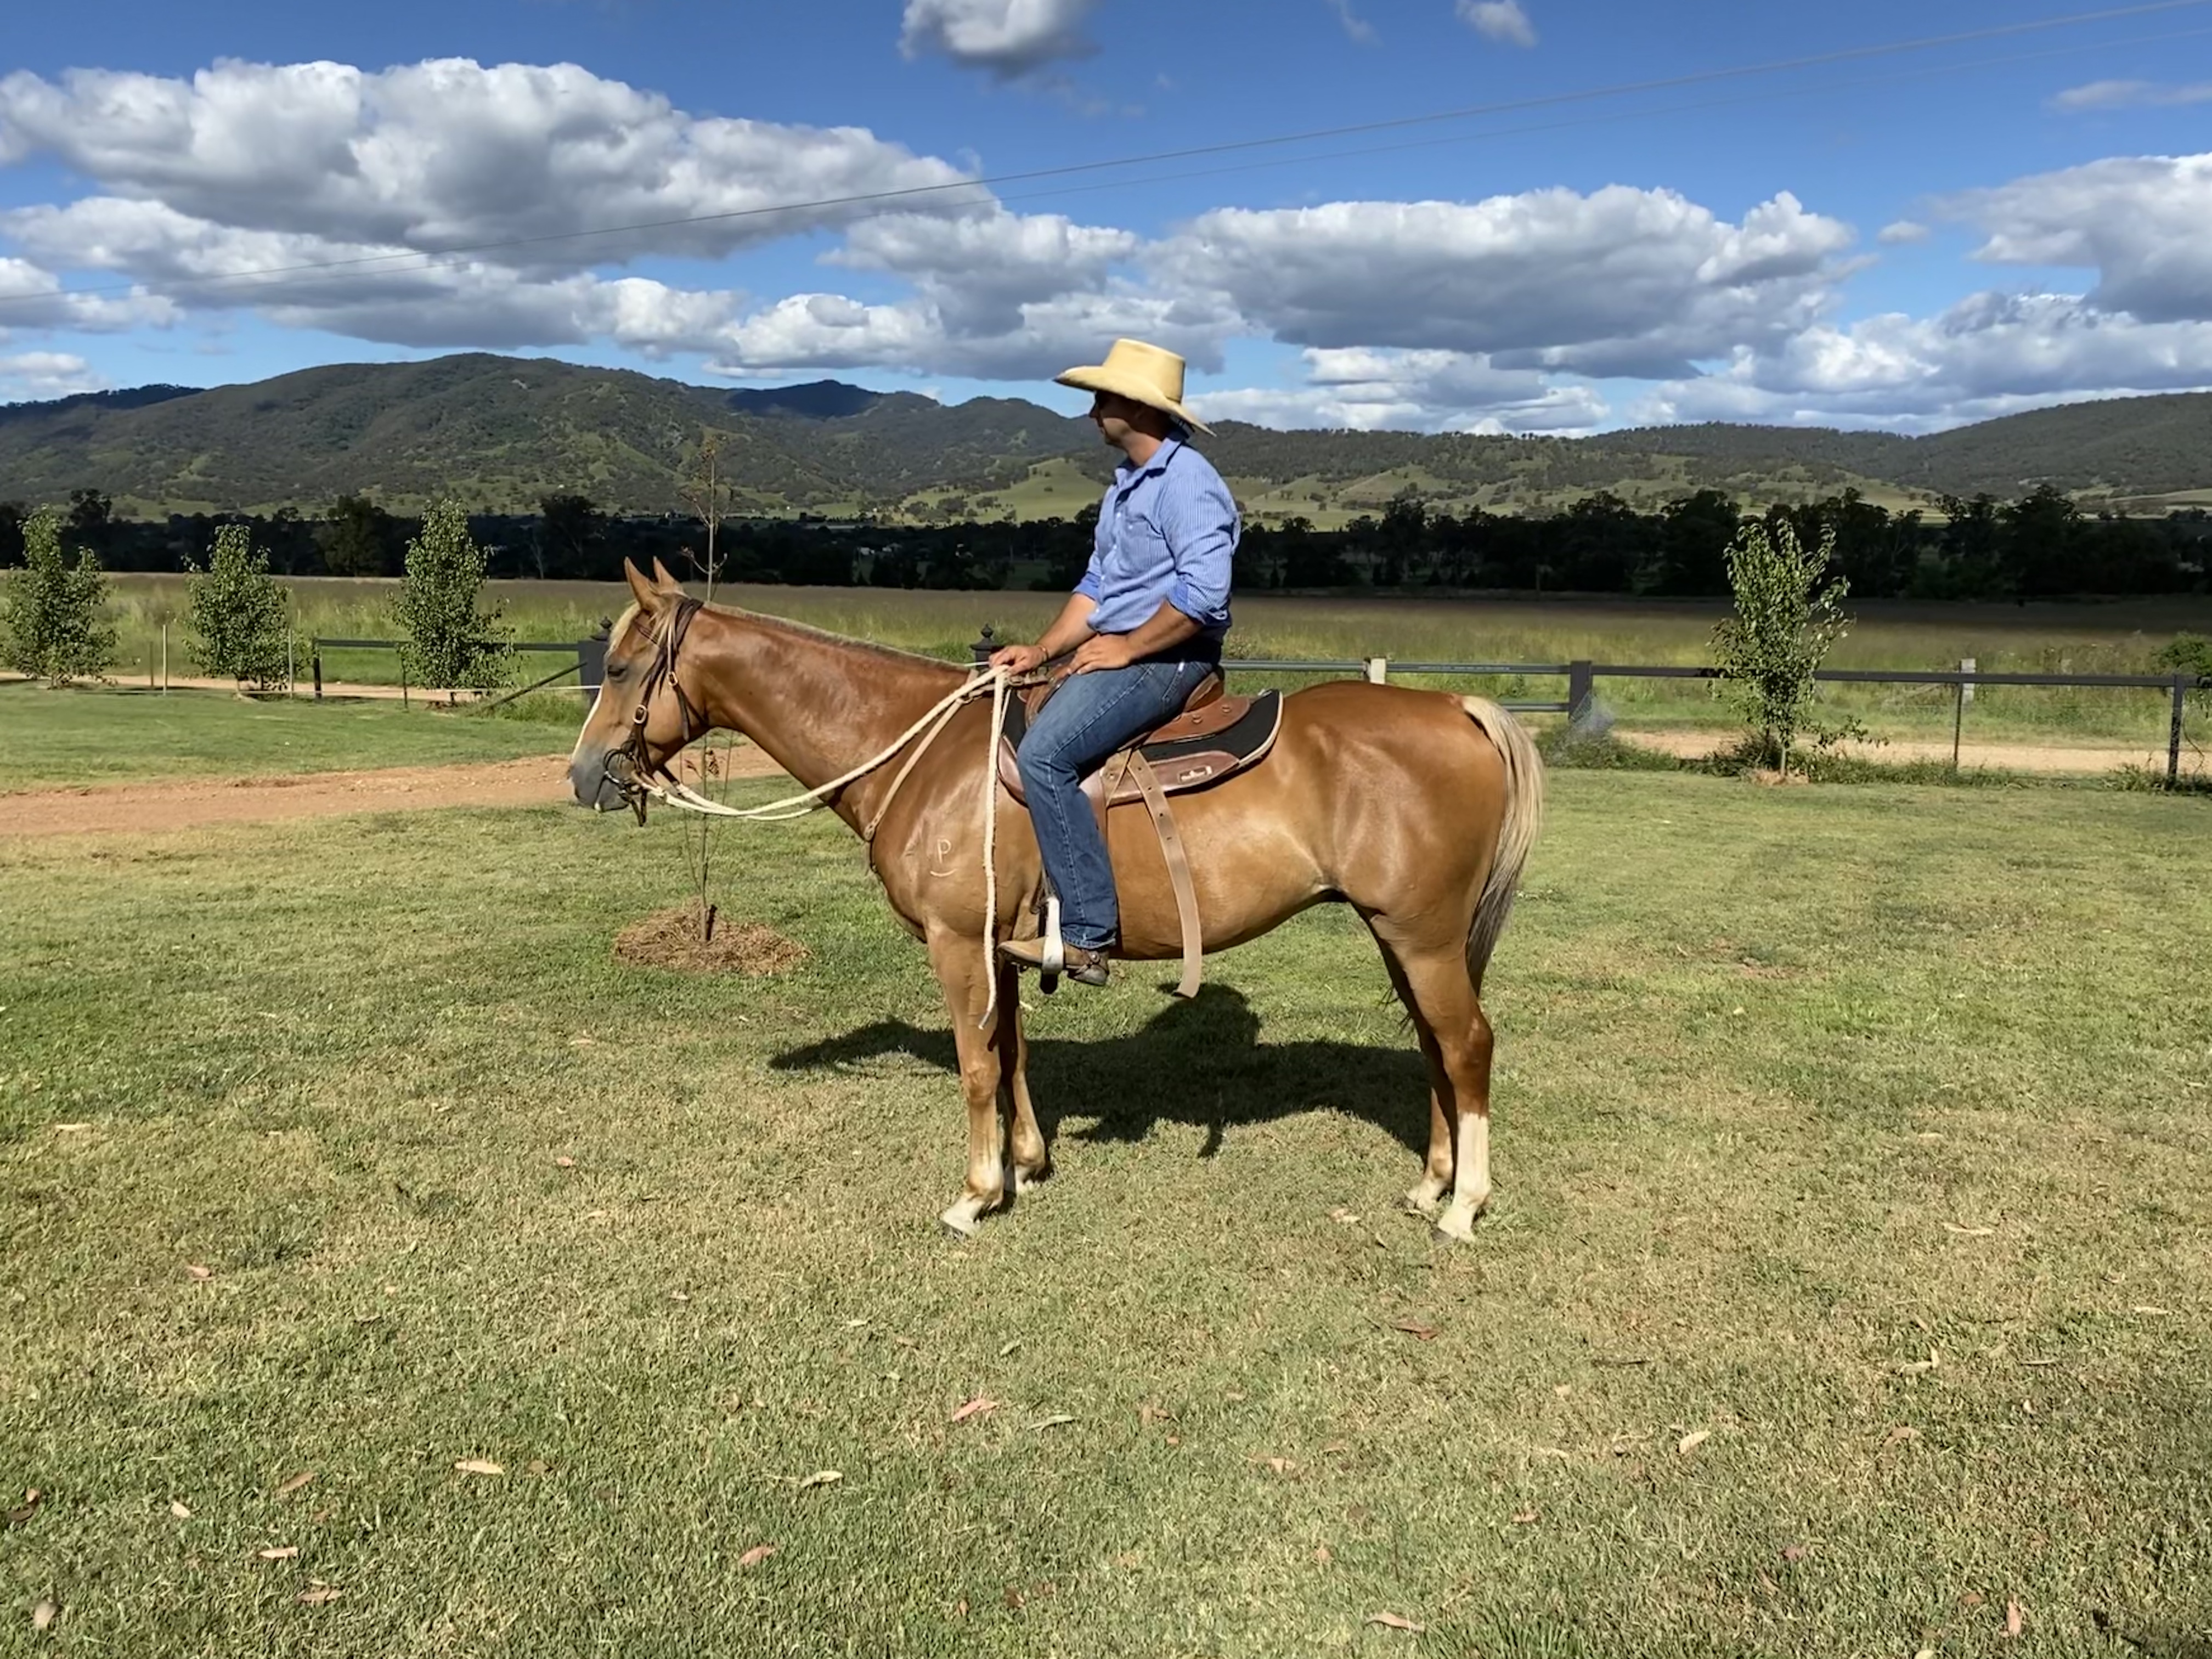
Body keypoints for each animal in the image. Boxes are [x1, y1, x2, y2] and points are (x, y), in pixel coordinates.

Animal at [568, 559, 1545, 1242]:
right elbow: (1013, 1057)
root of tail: (1457, 708)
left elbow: (975, 1067)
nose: (583, 777)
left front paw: (975, 1195)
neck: (925, 753)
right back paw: (1430, 1185)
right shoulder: (1002, 945)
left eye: (618, 669)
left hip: (1422, 936)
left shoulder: (956, 942)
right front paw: (1027, 1166)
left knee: (1467, 1045)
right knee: (1433, 1046)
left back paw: (1465, 1207)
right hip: (1403, 936)